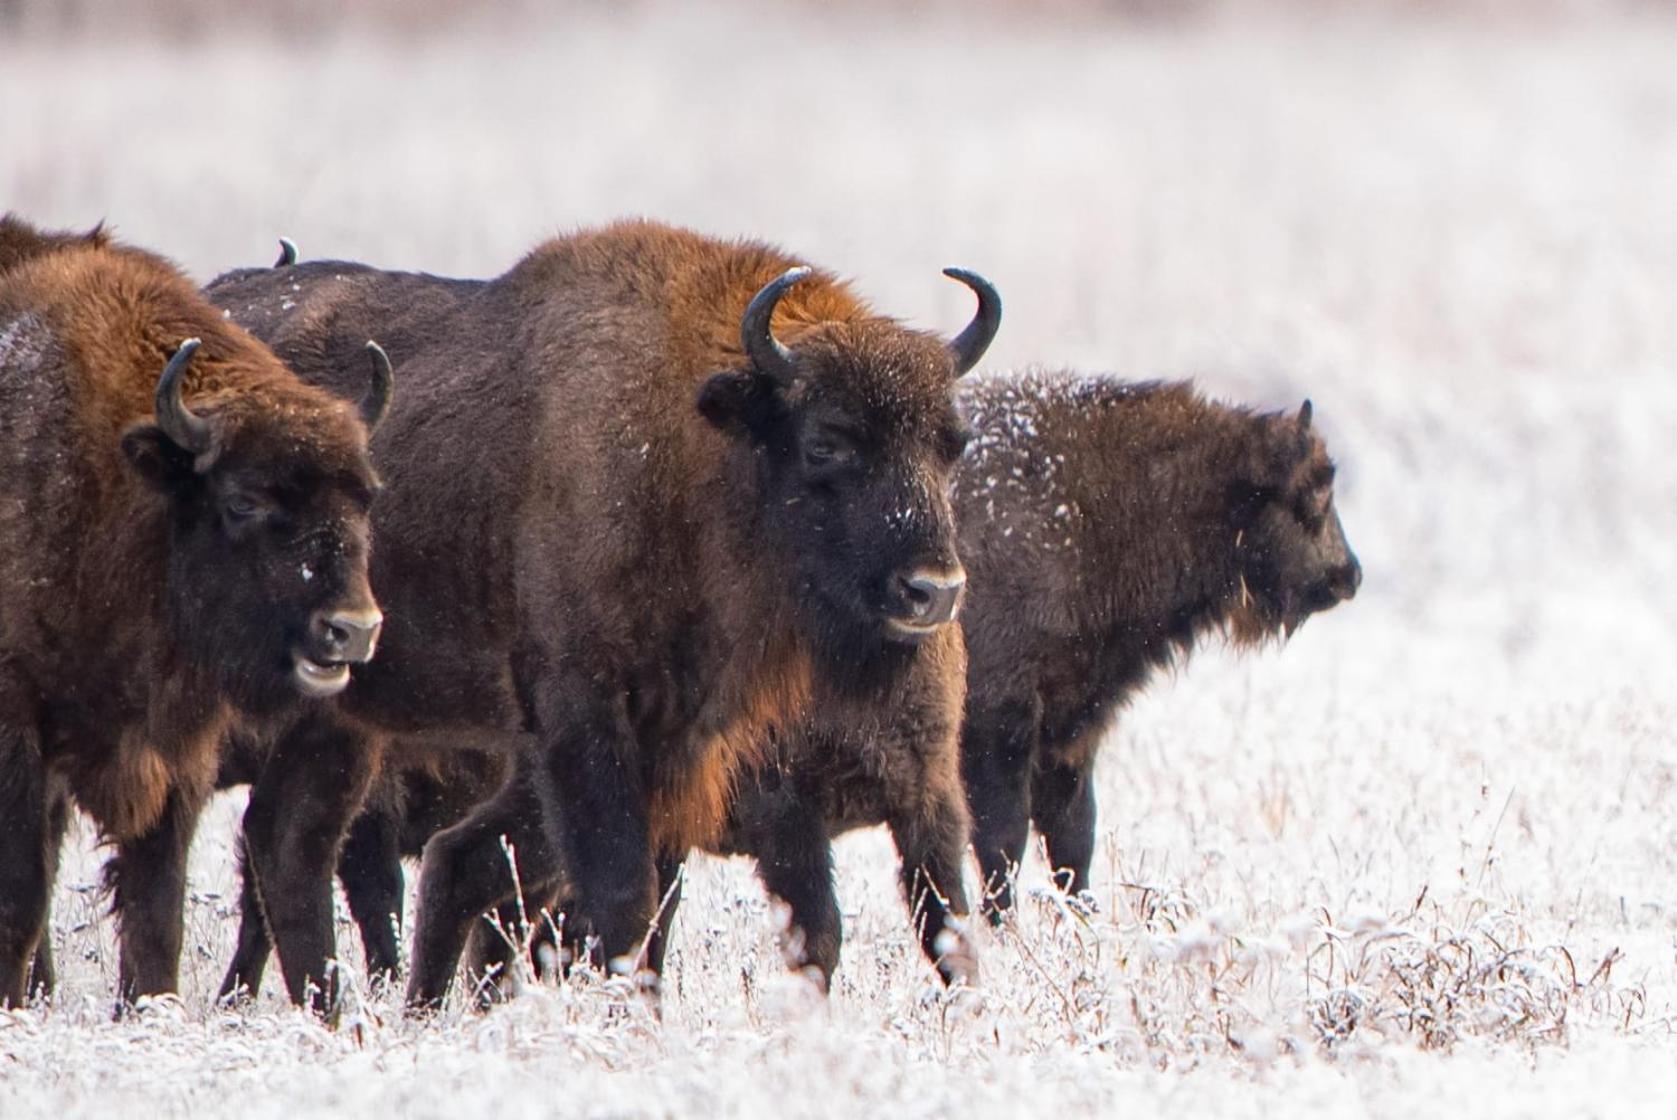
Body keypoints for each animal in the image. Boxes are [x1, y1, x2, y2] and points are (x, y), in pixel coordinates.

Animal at [1, 214, 385, 1012]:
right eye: (243, 501)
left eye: (365, 495)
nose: (352, 630)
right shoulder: (15, 725)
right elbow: (21, 898)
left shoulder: (169, 755)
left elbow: (157, 913)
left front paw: (149, 1006)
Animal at [206, 217, 992, 1005]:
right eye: (827, 441)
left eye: (950, 444)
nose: (933, 589)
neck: (693, 449)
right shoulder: (584, 720)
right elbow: (622, 898)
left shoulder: (678, 744)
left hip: (338, 720)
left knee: (300, 848)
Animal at [959, 372, 1361, 912]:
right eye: (1313, 488)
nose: (1348, 574)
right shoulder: (999, 719)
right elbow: (1003, 843)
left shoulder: (1071, 725)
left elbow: (1073, 838)